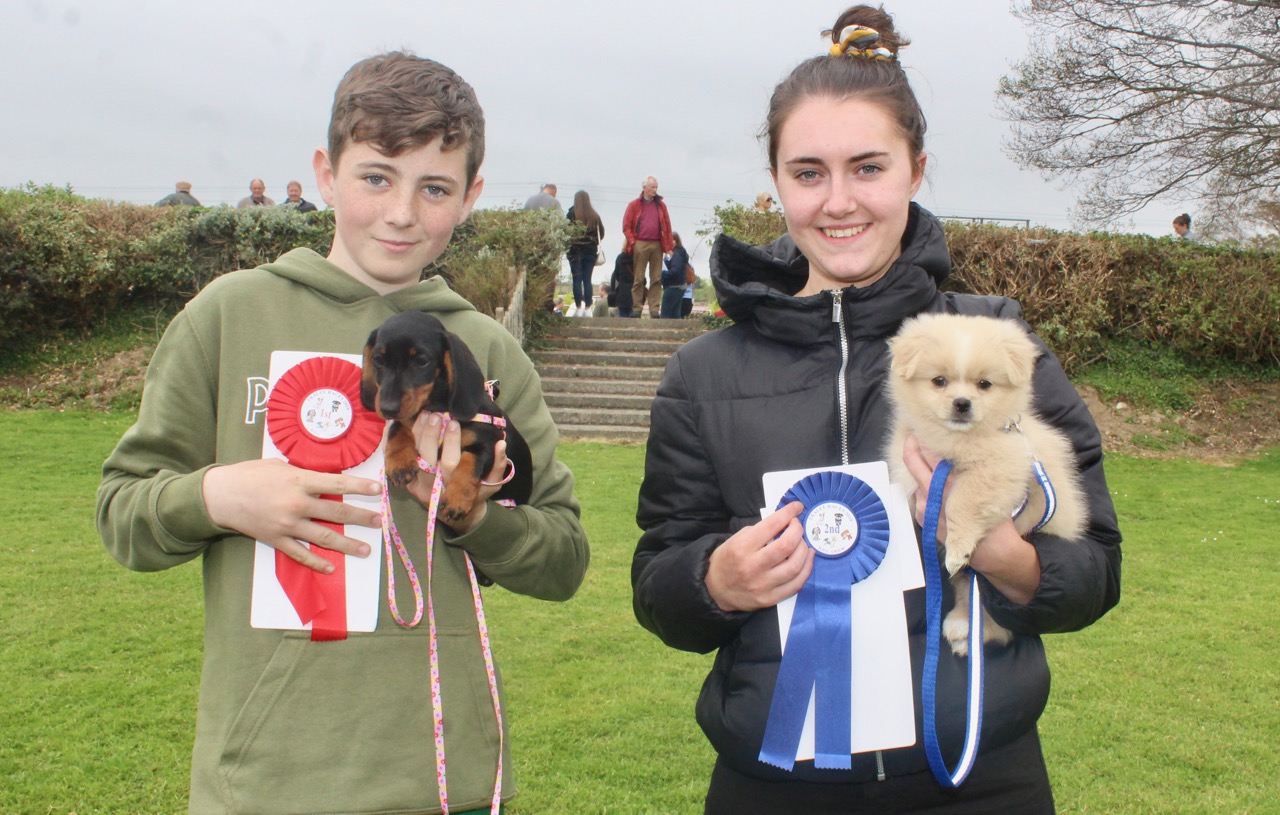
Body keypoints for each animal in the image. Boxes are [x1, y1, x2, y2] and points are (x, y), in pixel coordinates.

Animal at [363, 308, 532, 524]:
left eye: (422, 361)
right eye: (378, 360)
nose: (387, 409)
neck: (437, 409)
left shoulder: (490, 442)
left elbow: (470, 462)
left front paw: (457, 499)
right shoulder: (407, 419)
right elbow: (396, 430)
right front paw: (399, 463)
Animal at [885, 313, 1085, 655]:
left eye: (984, 384)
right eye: (939, 381)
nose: (962, 403)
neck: (958, 442)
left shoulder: (1000, 470)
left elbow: (962, 502)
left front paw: (957, 548)